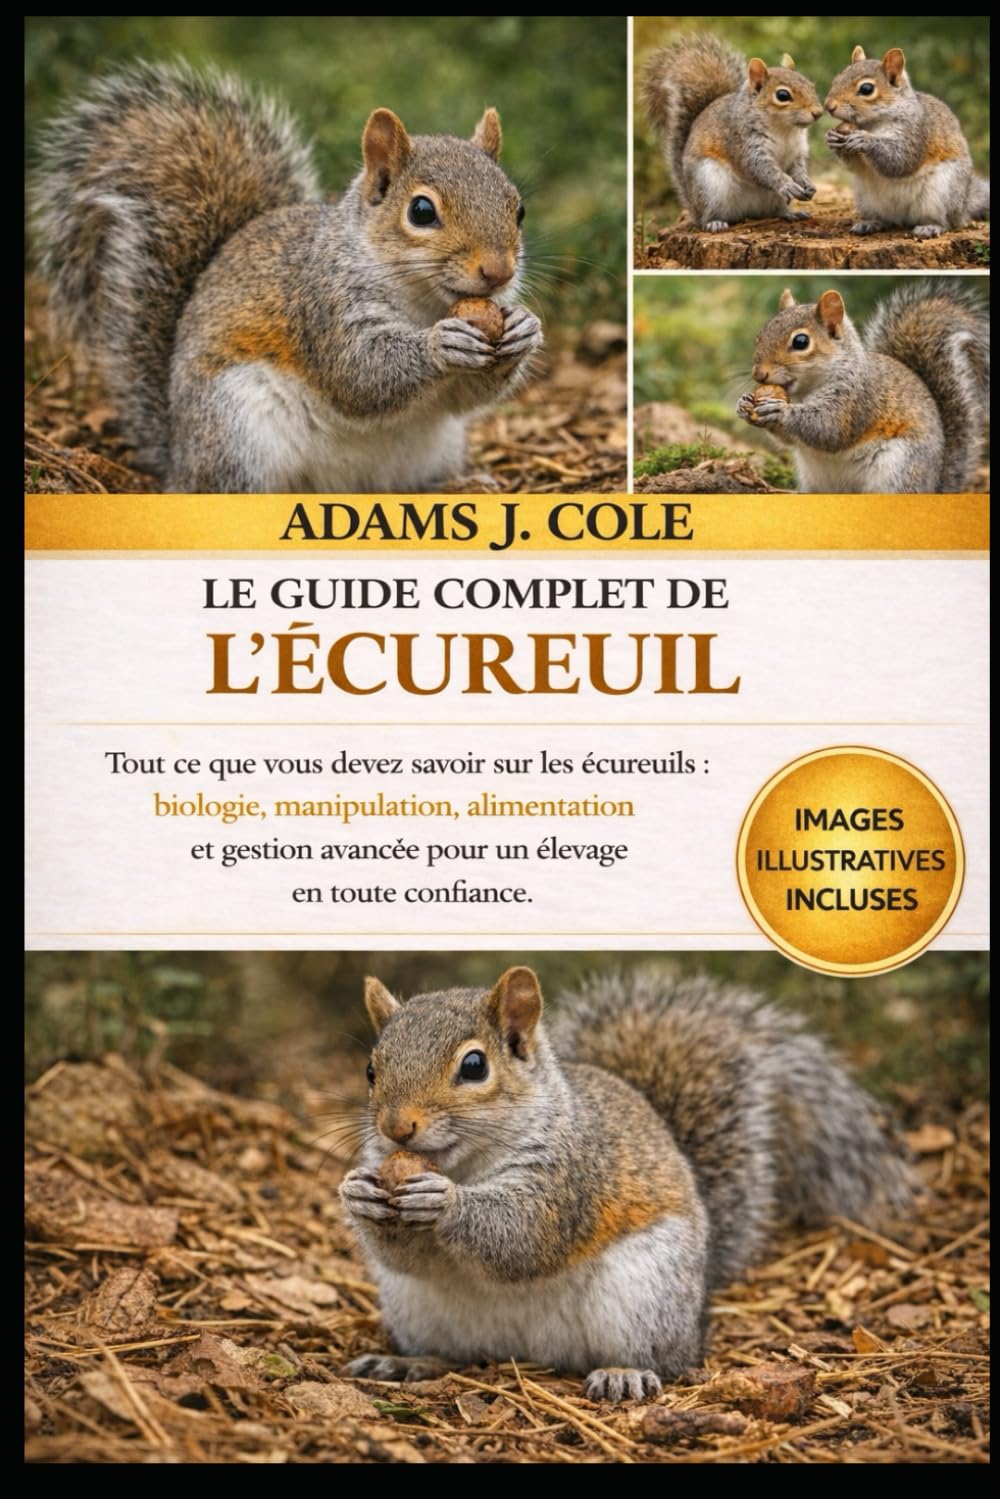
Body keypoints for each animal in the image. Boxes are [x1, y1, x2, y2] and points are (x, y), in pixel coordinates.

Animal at [31, 61, 543, 494]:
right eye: (421, 211)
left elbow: (464, 397)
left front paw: (524, 328)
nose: (499, 271)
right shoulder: (322, 304)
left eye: (518, 209)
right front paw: (441, 343)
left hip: (435, 446)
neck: (426, 302)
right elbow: (359, 373)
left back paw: (464, 484)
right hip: (236, 430)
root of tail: (179, 457)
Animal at [338, 965, 912, 1402]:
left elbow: (525, 1235)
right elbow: (406, 1256)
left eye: (475, 1066)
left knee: (666, 1358)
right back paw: (407, 1364)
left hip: (646, 1291)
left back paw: (625, 1373)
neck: (466, 1165)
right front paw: (358, 1192)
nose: (395, 1128)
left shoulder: (573, 1176)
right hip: (414, 1307)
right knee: (448, 1350)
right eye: (370, 1069)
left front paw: (445, 1202)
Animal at [642, 36, 823, 232]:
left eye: (811, 85)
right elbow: (760, 168)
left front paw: (807, 184)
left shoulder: (796, 152)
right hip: (709, 185)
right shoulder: (743, 143)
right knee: (706, 216)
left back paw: (790, 214)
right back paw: (714, 223)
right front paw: (786, 183)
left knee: (774, 211)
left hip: (773, 199)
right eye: (783, 95)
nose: (818, 112)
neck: (784, 129)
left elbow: (798, 168)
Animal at [737, 282, 990, 493]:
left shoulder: (857, 399)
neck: (805, 392)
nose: (758, 374)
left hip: (899, 471)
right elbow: (789, 439)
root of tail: (934, 486)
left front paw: (780, 411)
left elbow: (829, 429)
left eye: (801, 342)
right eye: (760, 335)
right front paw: (744, 405)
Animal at [825, 46, 990, 238]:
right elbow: (855, 165)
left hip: (943, 193)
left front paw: (865, 140)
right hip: (864, 199)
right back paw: (870, 223)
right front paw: (832, 137)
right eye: (836, 79)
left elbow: (901, 159)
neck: (873, 123)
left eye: (866, 88)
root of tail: (963, 206)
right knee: (884, 219)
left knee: (947, 222)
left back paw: (931, 227)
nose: (828, 106)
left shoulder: (915, 132)